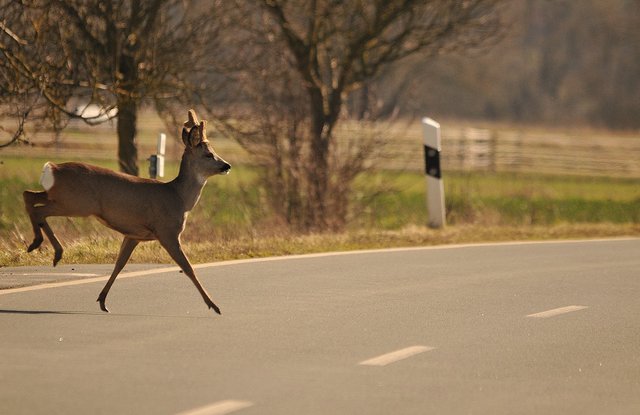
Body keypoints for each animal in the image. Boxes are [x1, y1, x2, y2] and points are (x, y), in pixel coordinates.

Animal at [23, 109, 231, 314]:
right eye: (209, 154)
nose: (227, 166)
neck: (179, 198)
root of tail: (52, 168)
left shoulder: (133, 235)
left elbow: (119, 264)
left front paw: (102, 300)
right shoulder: (167, 232)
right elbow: (188, 268)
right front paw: (214, 305)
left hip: (60, 197)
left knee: (29, 195)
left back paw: (38, 245)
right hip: (76, 203)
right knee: (40, 211)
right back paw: (51, 249)